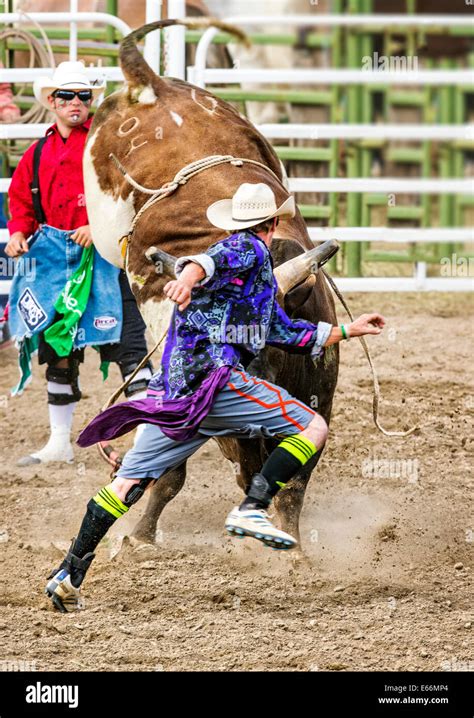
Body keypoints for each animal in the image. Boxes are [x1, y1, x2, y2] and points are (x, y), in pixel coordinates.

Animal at [83, 19, 338, 552]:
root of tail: (150, 86)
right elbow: (179, 470)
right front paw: (140, 539)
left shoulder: (318, 395)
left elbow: (292, 484)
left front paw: (292, 547)